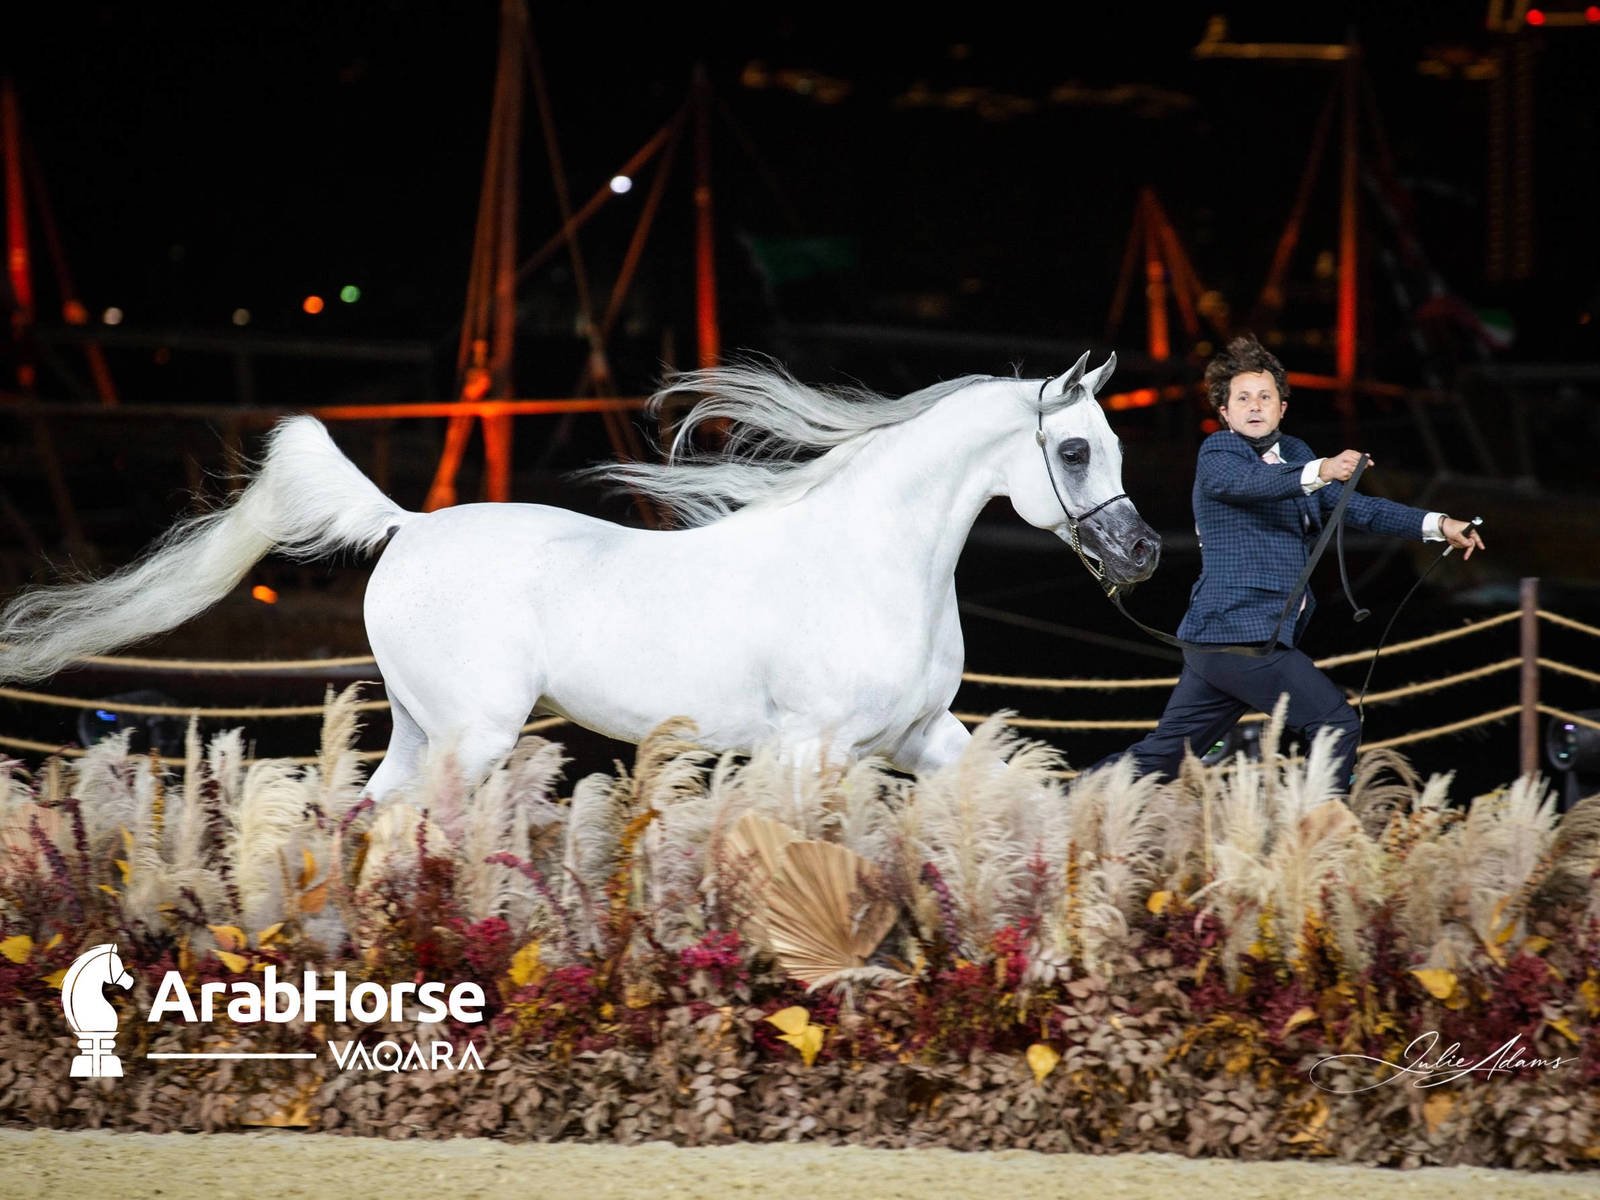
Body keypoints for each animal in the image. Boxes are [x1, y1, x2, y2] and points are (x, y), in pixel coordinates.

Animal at [0, 352, 1159, 800]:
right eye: (1073, 451)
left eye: (1112, 444)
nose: (1143, 552)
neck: (871, 564)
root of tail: (406, 528)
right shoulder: (809, 750)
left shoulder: (919, 736)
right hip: (473, 737)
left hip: (421, 730)